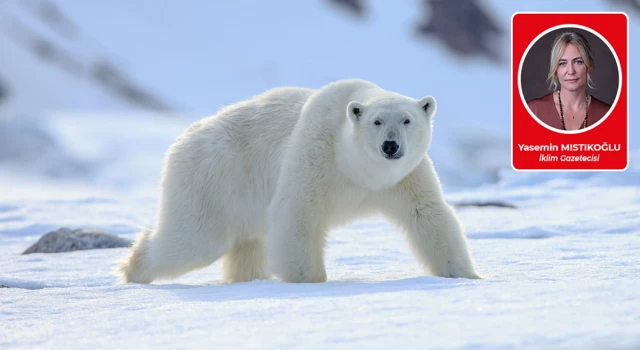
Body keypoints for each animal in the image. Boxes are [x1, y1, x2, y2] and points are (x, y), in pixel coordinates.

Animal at [119, 78, 480, 284]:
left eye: (407, 120)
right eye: (377, 121)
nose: (390, 146)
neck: (357, 170)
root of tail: (183, 139)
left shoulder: (405, 177)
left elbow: (428, 214)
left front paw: (466, 275)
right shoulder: (316, 151)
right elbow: (297, 212)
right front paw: (310, 280)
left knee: (245, 245)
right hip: (212, 179)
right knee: (194, 239)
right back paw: (133, 269)